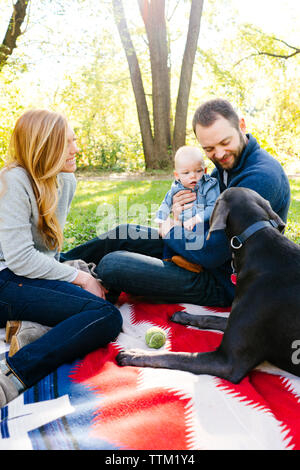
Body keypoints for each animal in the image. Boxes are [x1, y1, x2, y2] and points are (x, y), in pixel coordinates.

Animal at [116, 186, 300, 382]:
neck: (253, 237)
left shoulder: (228, 363)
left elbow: (175, 356)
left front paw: (135, 354)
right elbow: (212, 317)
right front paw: (185, 316)